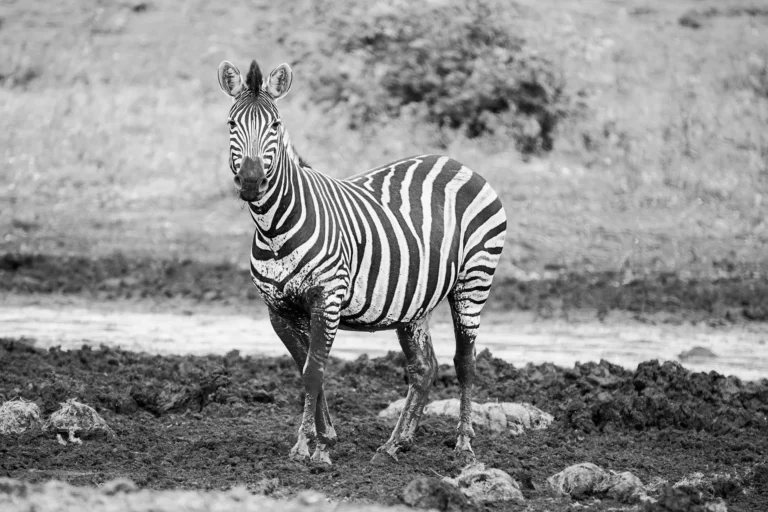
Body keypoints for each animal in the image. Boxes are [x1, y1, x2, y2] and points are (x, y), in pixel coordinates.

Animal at [217, 59, 507, 465]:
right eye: (232, 124)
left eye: (275, 125)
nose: (250, 182)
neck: (274, 228)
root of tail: (456, 162)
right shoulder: (278, 310)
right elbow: (306, 370)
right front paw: (326, 438)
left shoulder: (327, 299)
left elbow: (313, 372)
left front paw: (311, 448)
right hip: (414, 301)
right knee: (424, 368)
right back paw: (395, 444)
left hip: (474, 281)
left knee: (465, 362)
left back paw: (464, 444)